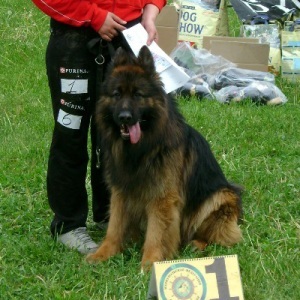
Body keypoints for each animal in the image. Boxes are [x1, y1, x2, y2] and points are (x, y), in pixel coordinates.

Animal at [86, 45, 241, 268]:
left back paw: (197, 244)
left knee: (216, 235)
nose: (124, 117)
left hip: (219, 197)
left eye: (138, 95)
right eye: (116, 94)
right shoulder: (121, 192)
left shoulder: (162, 198)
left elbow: (156, 234)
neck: (141, 150)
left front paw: (151, 264)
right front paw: (103, 254)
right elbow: (114, 227)